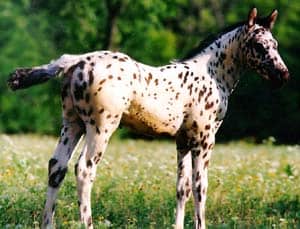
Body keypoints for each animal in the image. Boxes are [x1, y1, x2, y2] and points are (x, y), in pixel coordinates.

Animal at [7, 7, 288, 229]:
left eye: (275, 45)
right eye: (259, 45)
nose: (282, 74)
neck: (211, 73)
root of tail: (76, 61)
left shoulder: (183, 141)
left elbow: (182, 188)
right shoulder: (204, 140)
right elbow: (200, 188)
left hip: (72, 124)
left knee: (57, 167)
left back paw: (48, 223)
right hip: (100, 128)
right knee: (84, 170)